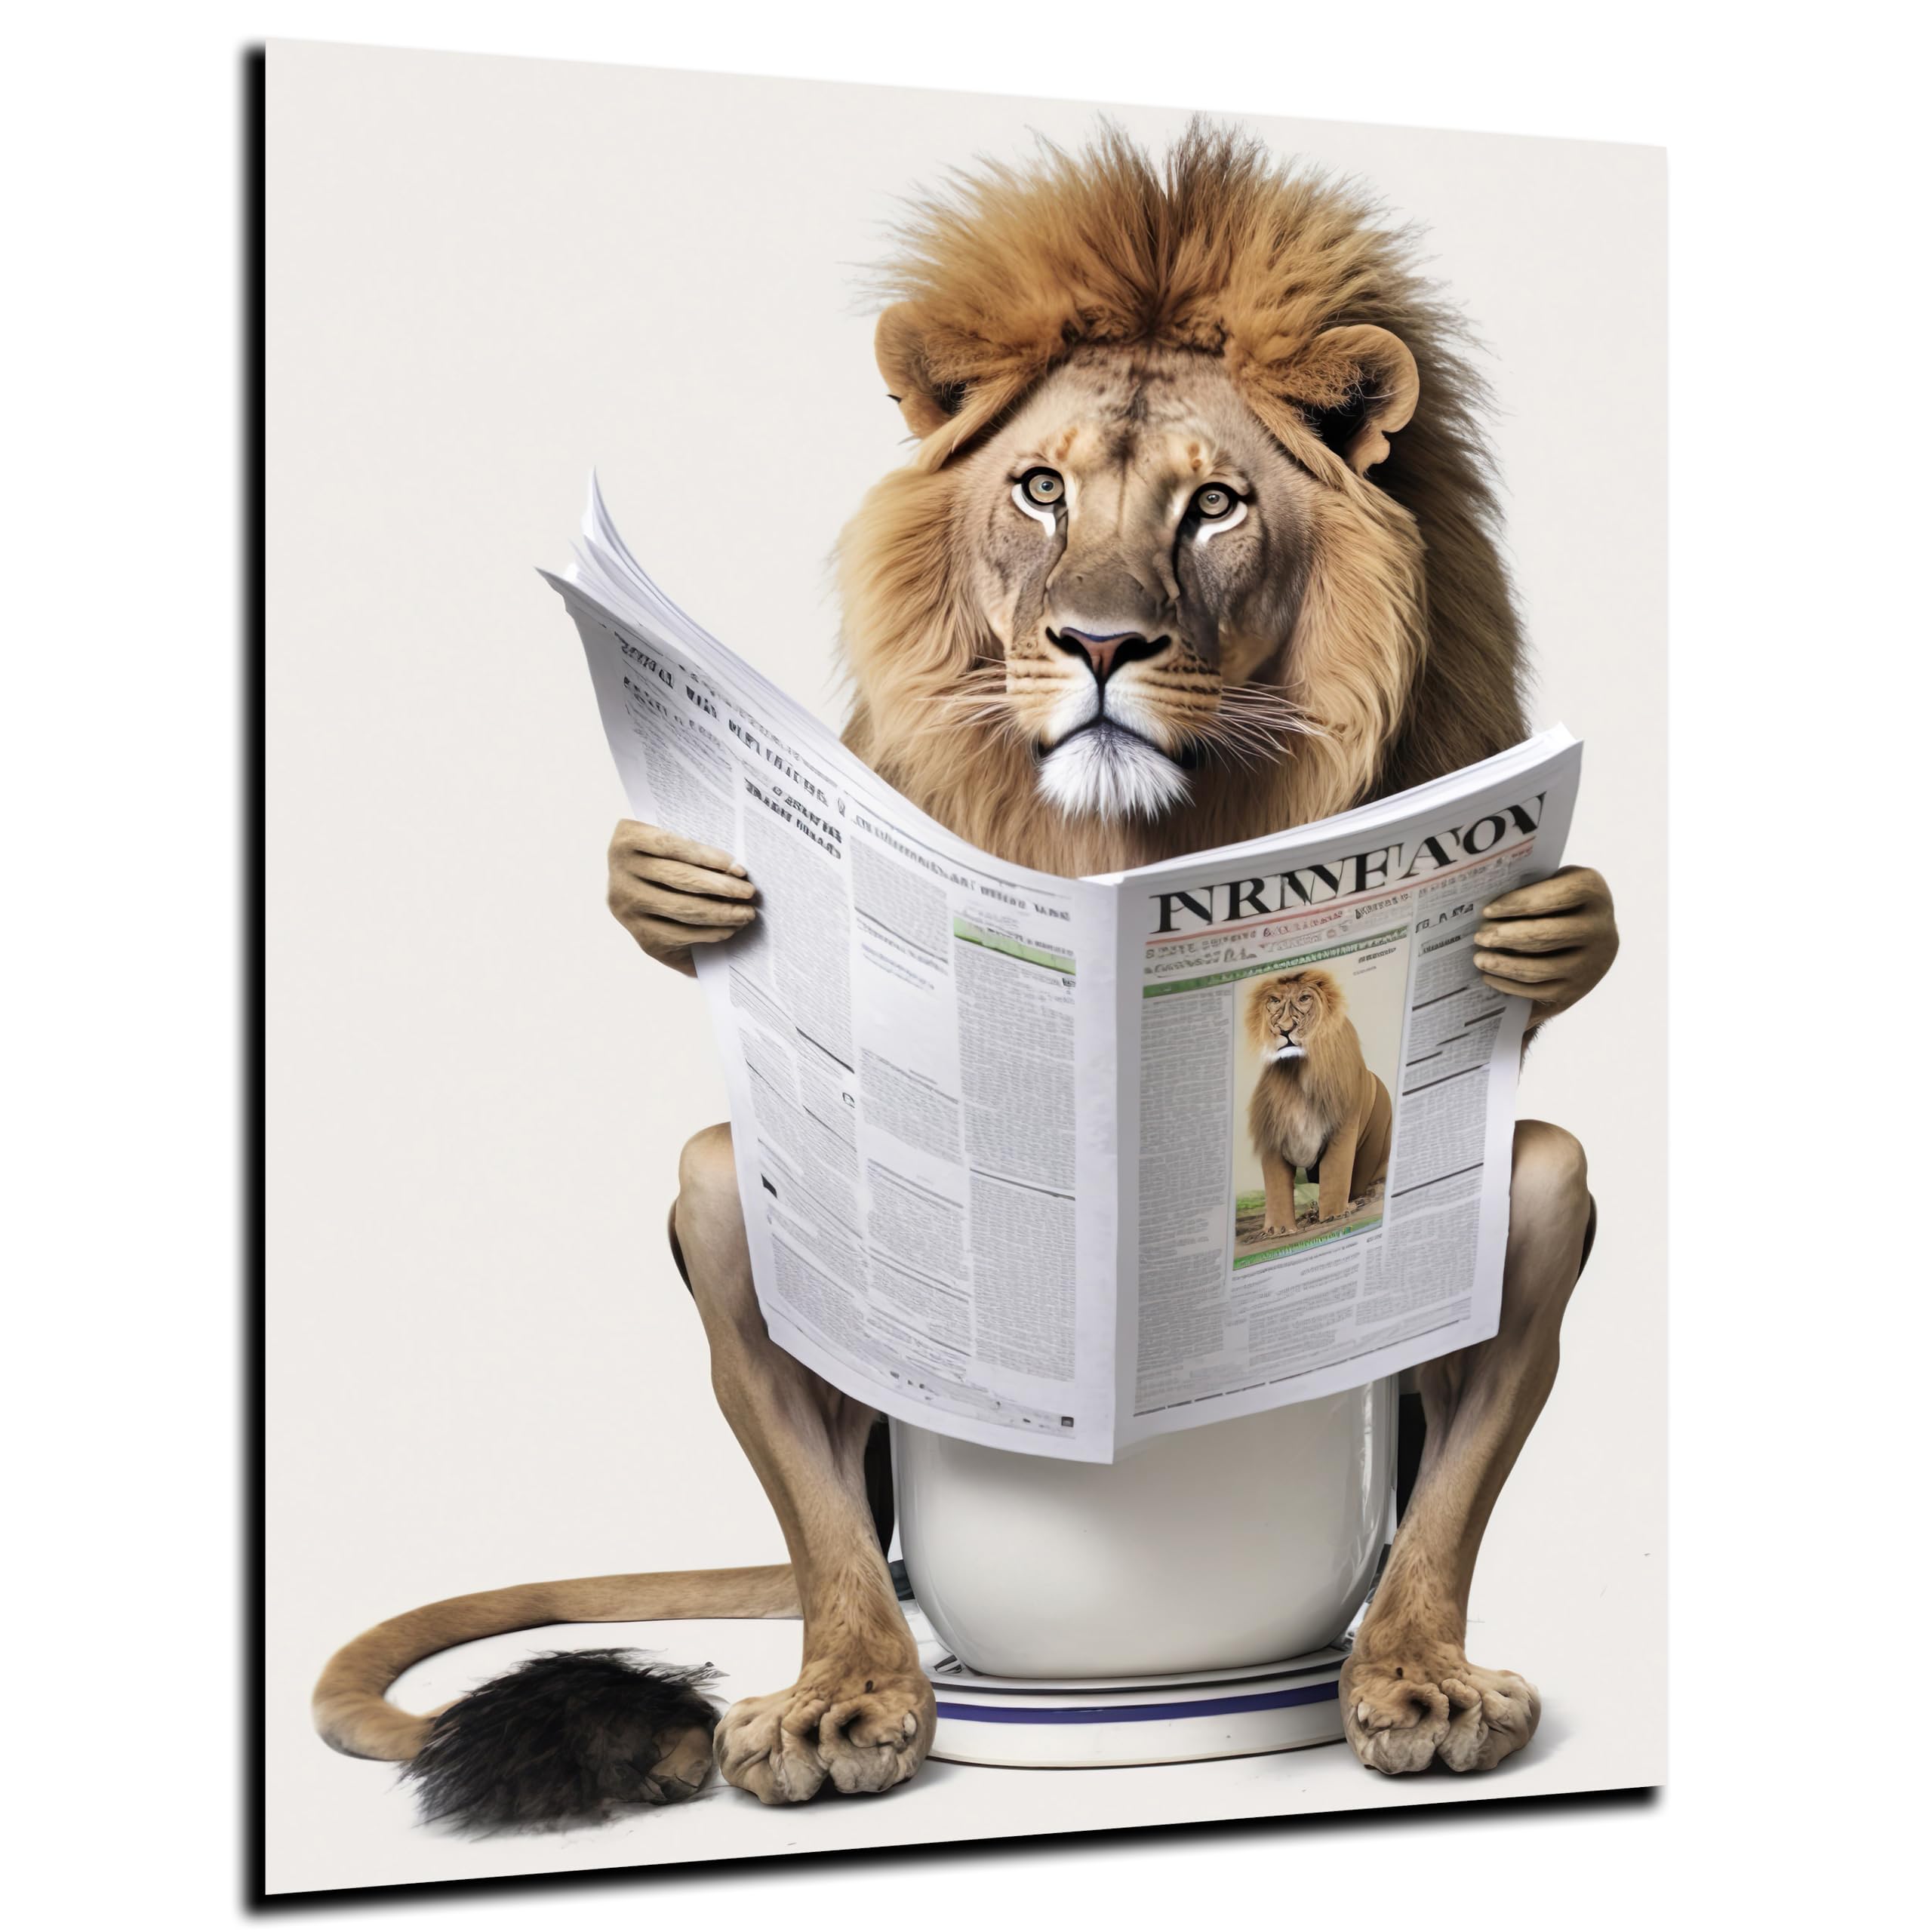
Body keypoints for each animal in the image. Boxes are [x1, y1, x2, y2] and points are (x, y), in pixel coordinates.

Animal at [1245, 968, 1392, 1238]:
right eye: (1274, 1001)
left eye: (1305, 998)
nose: (1284, 1030)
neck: (1297, 1073)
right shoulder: (1273, 1130)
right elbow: (1276, 1187)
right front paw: (1279, 1230)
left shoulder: (1344, 1125)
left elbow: (1336, 1172)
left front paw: (1334, 1215)